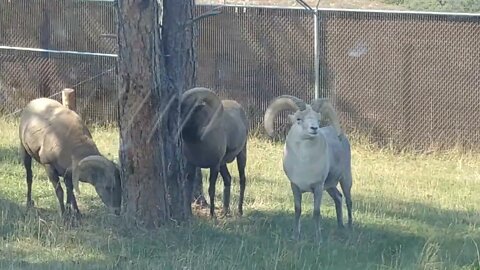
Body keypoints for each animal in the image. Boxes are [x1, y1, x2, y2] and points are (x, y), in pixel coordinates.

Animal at [179, 86, 248, 217]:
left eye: (193, 110)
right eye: (181, 110)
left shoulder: (214, 166)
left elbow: (211, 190)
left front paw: (212, 216)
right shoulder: (191, 165)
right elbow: (188, 189)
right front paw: (188, 214)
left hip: (241, 154)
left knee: (242, 180)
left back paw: (240, 211)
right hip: (223, 164)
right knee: (228, 179)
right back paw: (225, 211)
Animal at [262, 95, 352, 243]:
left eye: (318, 119)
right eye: (299, 119)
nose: (314, 128)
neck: (304, 162)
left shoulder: (318, 187)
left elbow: (316, 212)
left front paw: (318, 239)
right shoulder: (295, 187)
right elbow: (297, 210)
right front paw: (295, 236)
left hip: (345, 179)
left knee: (348, 201)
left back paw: (350, 227)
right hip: (330, 186)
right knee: (338, 198)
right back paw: (340, 226)